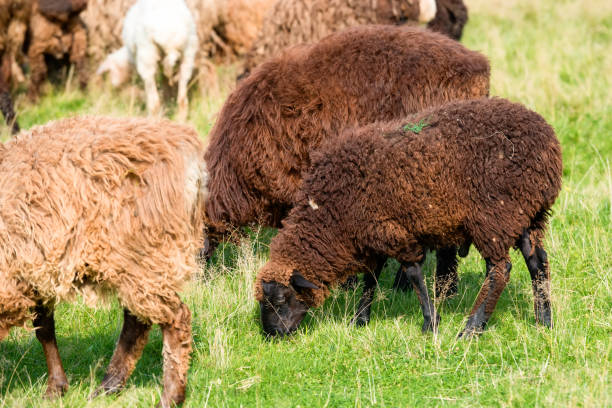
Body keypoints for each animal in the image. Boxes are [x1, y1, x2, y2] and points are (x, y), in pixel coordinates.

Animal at [0, 116, 208, 406]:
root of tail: (187, 149)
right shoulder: (33, 269)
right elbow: (44, 328)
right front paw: (56, 388)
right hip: (136, 261)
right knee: (137, 321)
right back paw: (109, 386)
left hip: (145, 251)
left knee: (174, 319)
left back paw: (169, 396)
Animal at [255, 98, 564, 338]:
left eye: (281, 299)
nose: (271, 334)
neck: (330, 216)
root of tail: (549, 143)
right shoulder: (375, 233)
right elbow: (371, 277)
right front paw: (361, 319)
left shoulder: (395, 234)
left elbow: (414, 275)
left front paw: (430, 323)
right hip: (524, 214)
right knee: (537, 261)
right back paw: (544, 320)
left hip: (494, 216)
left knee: (500, 270)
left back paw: (472, 328)